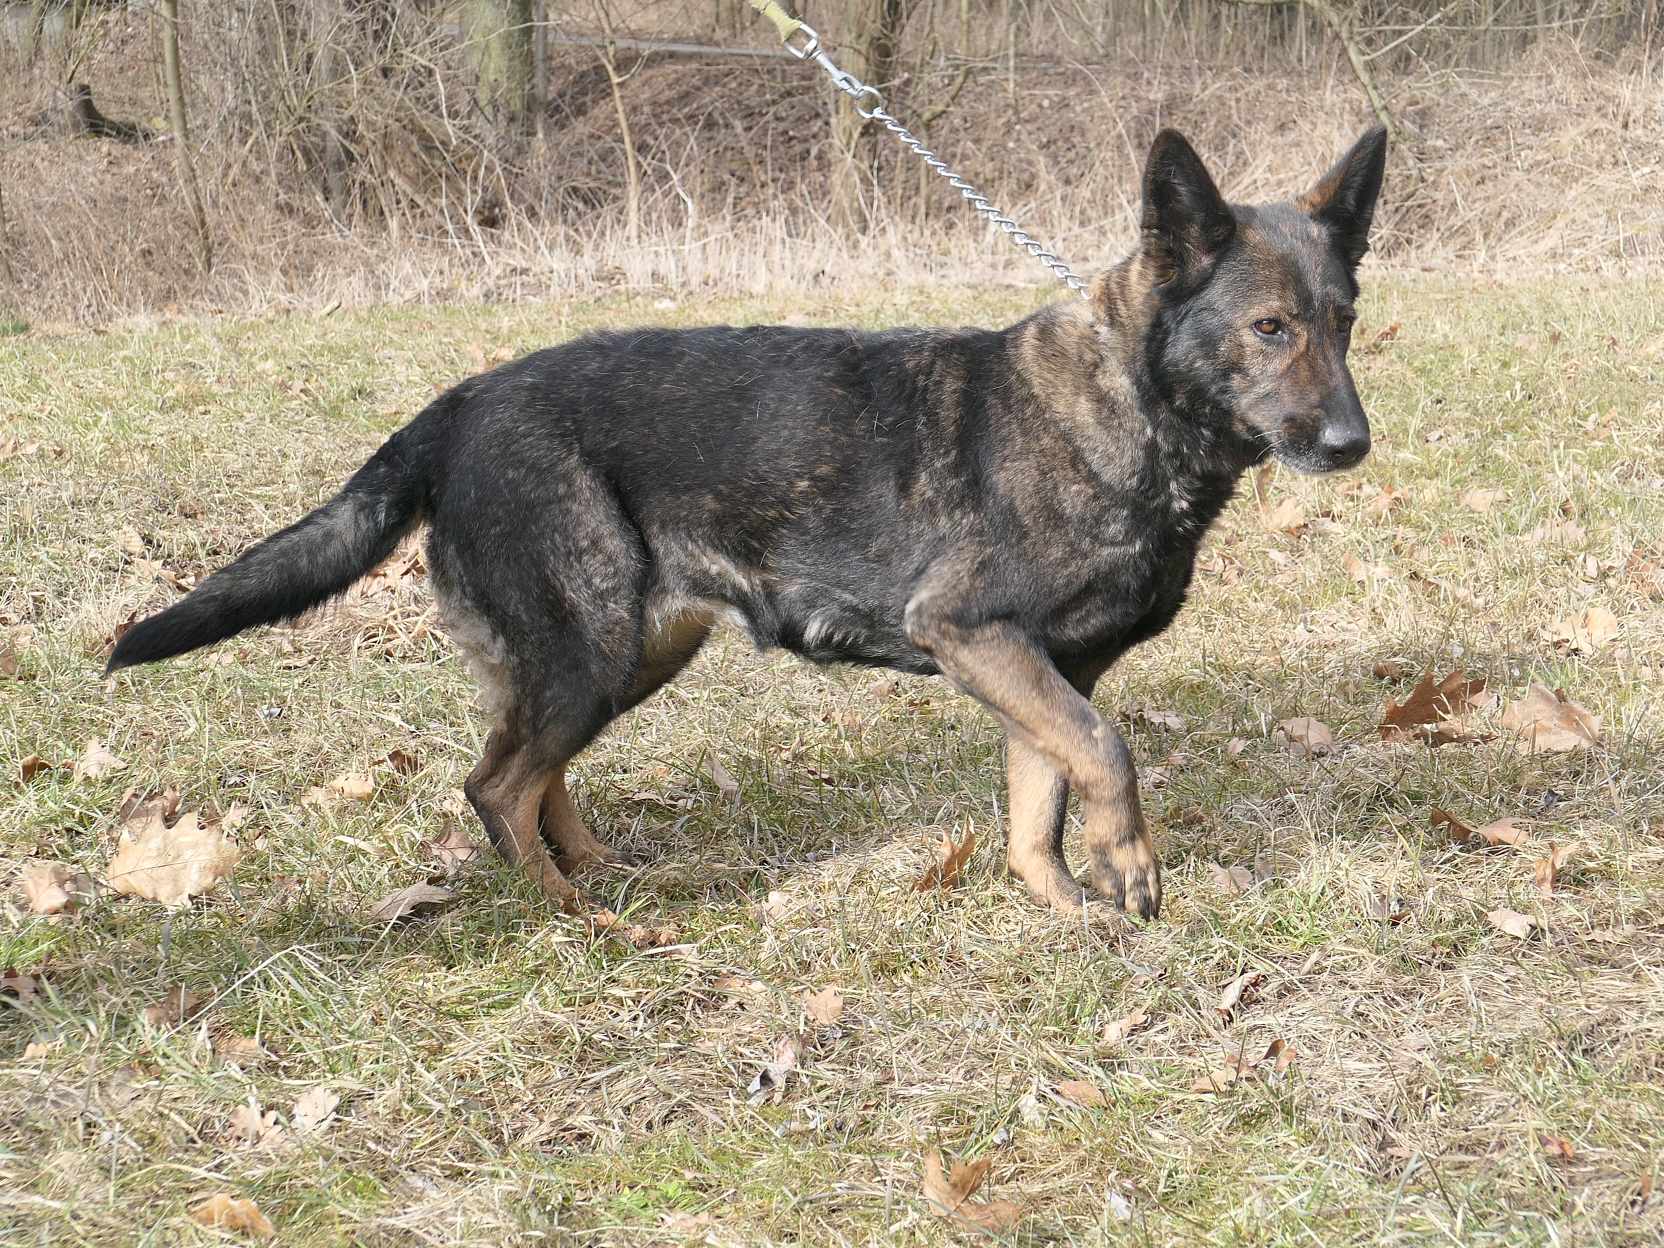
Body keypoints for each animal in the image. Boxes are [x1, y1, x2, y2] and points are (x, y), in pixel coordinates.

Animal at [108, 126, 1387, 920]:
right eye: (1269, 328)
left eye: (1342, 320)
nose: (1349, 443)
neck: (1130, 408)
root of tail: (458, 404)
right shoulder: (974, 636)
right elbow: (1107, 753)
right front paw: (1129, 871)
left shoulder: (1041, 671)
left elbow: (1043, 802)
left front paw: (1069, 909)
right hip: (592, 643)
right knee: (493, 786)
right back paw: (573, 918)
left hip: (627, 648)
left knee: (529, 766)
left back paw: (603, 870)